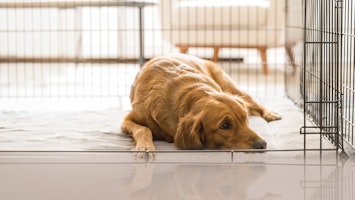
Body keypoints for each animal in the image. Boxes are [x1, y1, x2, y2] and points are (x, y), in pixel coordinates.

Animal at [121, 53, 280, 153]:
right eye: (225, 125)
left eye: (245, 119)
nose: (262, 144)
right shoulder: (127, 120)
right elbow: (143, 129)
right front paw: (145, 147)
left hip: (230, 86)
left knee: (255, 103)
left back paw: (271, 114)